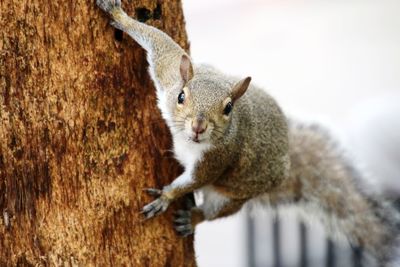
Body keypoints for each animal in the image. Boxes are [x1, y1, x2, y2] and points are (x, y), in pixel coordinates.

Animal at [97, 0, 400, 266]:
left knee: (214, 211)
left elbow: (193, 181)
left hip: (231, 196)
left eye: (228, 108)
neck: (189, 142)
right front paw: (119, 15)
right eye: (182, 96)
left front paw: (165, 197)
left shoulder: (217, 159)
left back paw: (193, 217)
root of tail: (284, 169)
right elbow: (159, 42)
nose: (198, 127)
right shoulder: (169, 75)